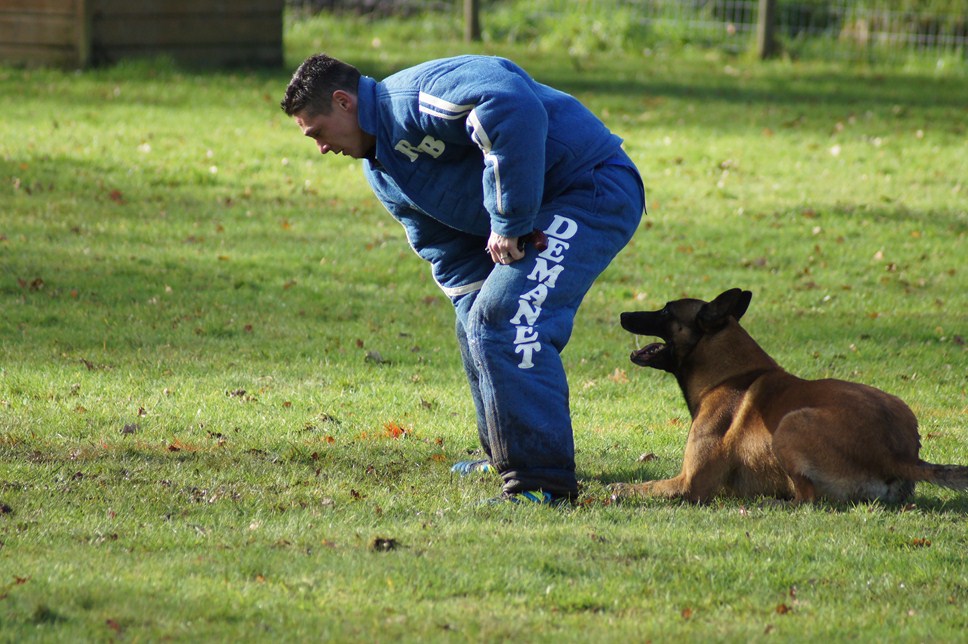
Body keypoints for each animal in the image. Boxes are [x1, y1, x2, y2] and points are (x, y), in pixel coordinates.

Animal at [612, 290, 968, 506]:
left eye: (666, 310)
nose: (623, 314)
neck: (729, 376)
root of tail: (898, 455)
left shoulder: (689, 484)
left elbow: (641, 487)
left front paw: (617, 490)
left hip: (790, 424)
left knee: (806, 498)